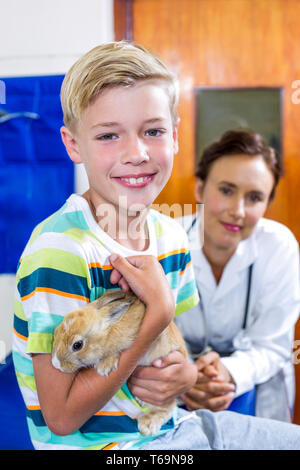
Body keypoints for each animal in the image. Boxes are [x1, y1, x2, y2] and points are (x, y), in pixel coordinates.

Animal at [51, 290, 188, 436]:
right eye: (55, 332)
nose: (56, 364)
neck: (108, 333)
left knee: (168, 407)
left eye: (77, 345)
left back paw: (146, 425)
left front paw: (104, 367)